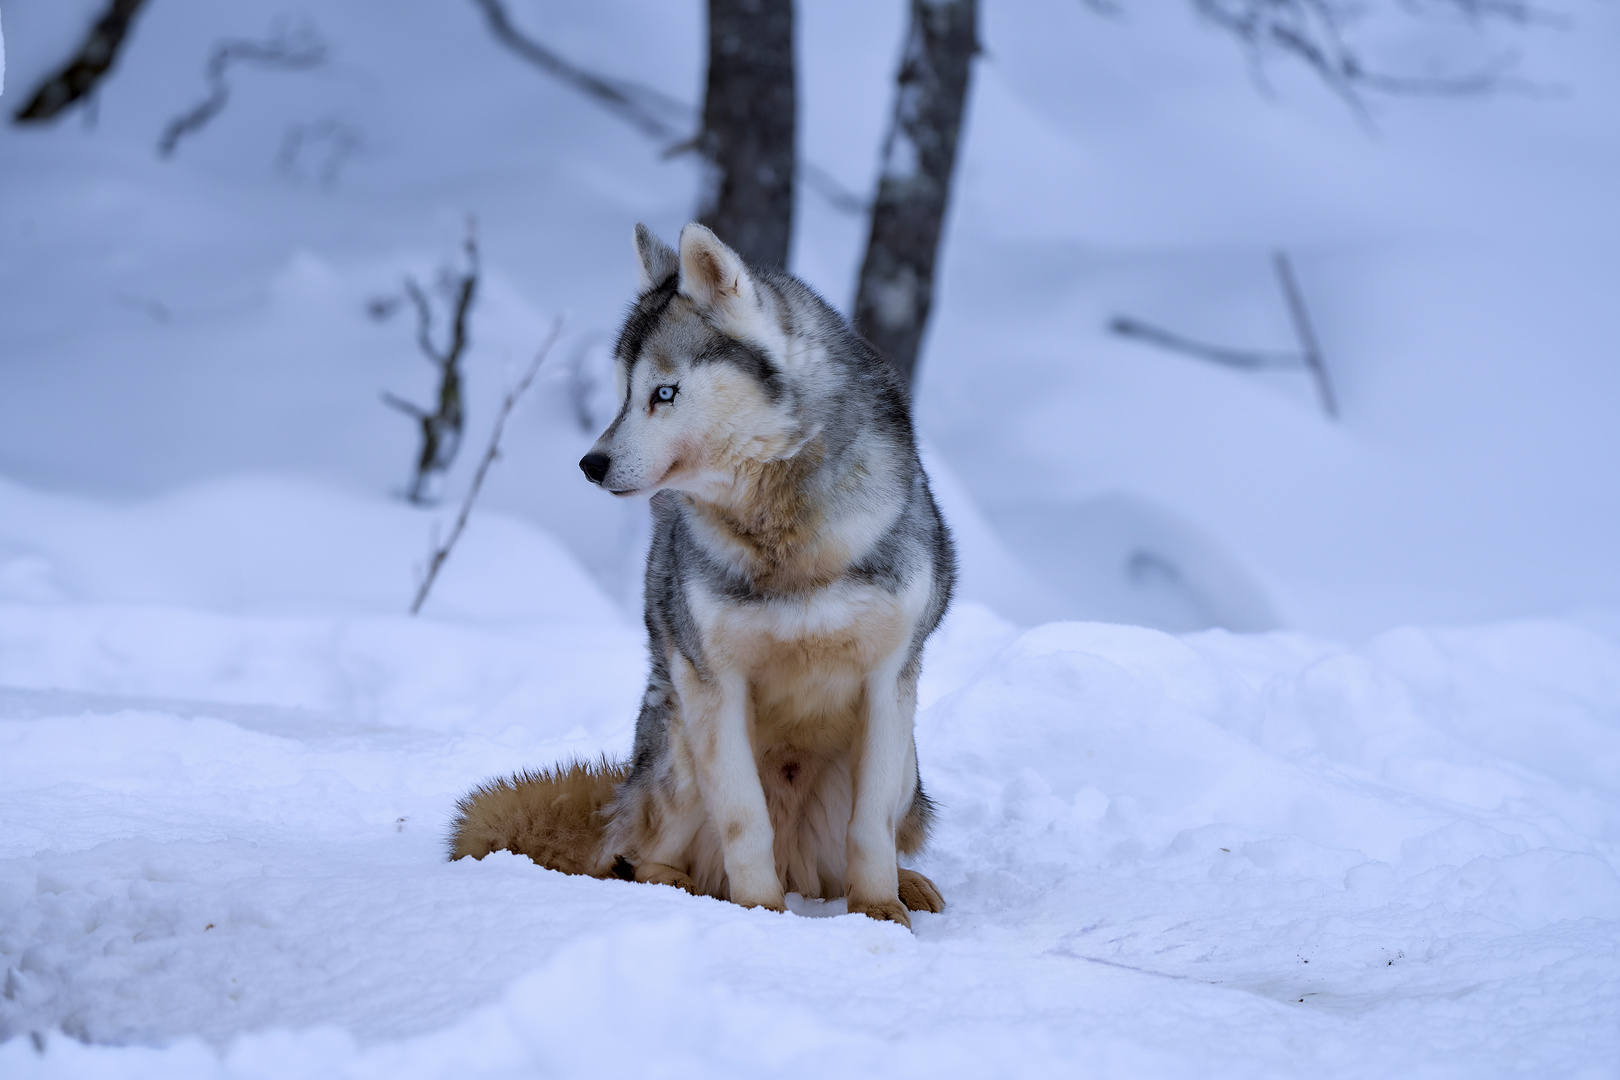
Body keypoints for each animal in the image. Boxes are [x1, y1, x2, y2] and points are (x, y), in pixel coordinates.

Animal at [450, 221, 952, 932]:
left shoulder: (889, 682)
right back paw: (681, 886)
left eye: (664, 393)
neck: (785, 539)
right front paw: (760, 915)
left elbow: (870, 827)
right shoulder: (715, 686)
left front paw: (880, 910)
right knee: (634, 857)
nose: (590, 464)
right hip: (680, 746)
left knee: (845, 858)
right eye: (623, 393)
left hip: (907, 767)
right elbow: (744, 821)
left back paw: (907, 885)